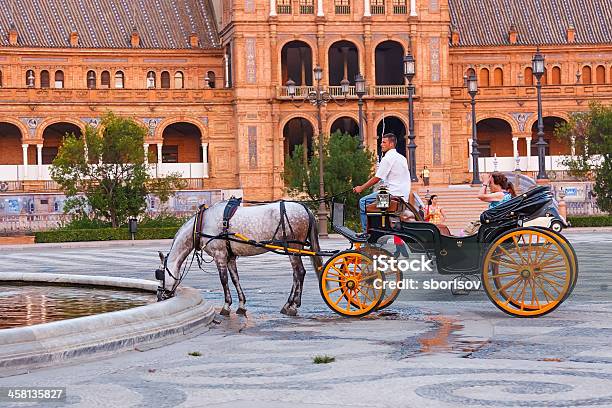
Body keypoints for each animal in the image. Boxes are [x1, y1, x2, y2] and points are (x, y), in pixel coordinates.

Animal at [155, 201, 322, 316]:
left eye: (160, 274)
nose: (159, 296)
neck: (201, 224)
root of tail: (305, 208)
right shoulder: (230, 257)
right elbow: (235, 279)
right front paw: (241, 305)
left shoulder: (220, 256)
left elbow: (224, 280)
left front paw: (226, 306)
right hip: (292, 249)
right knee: (295, 275)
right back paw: (288, 304)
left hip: (293, 248)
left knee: (299, 272)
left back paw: (293, 305)